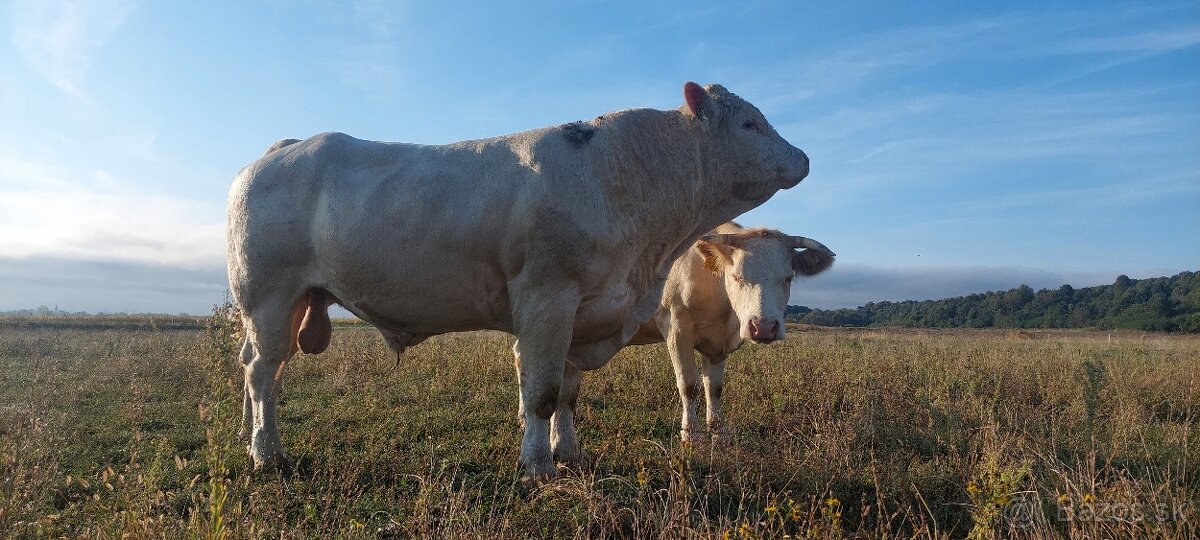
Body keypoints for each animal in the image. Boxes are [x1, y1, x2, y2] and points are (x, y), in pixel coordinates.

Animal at [225, 81, 811, 480]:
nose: (803, 157)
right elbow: (543, 392)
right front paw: (538, 466)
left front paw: (568, 452)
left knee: (261, 371)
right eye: (750, 124)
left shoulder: (583, 313)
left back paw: (255, 439)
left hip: (290, 305)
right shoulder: (547, 301)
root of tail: (284, 148)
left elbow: (569, 393)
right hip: (268, 298)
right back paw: (266, 454)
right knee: (261, 373)